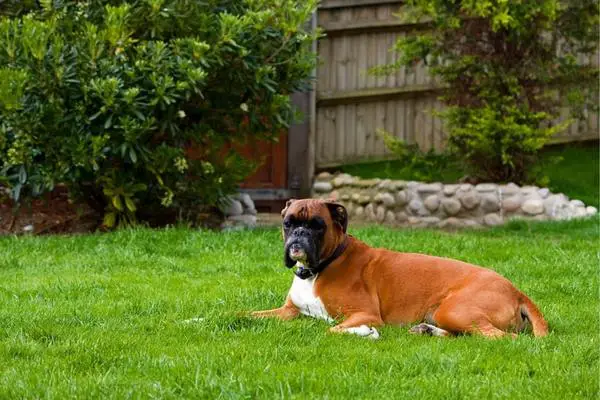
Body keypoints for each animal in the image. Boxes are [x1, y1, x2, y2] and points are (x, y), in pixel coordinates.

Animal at [250, 198, 548, 340]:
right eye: (288, 223)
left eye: (317, 225)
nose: (299, 234)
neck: (319, 268)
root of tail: (516, 290)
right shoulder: (289, 311)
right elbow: (250, 315)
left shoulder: (364, 314)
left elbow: (331, 330)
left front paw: (364, 333)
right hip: (447, 314)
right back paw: (428, 331)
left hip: (454, 310)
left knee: (502, 337)